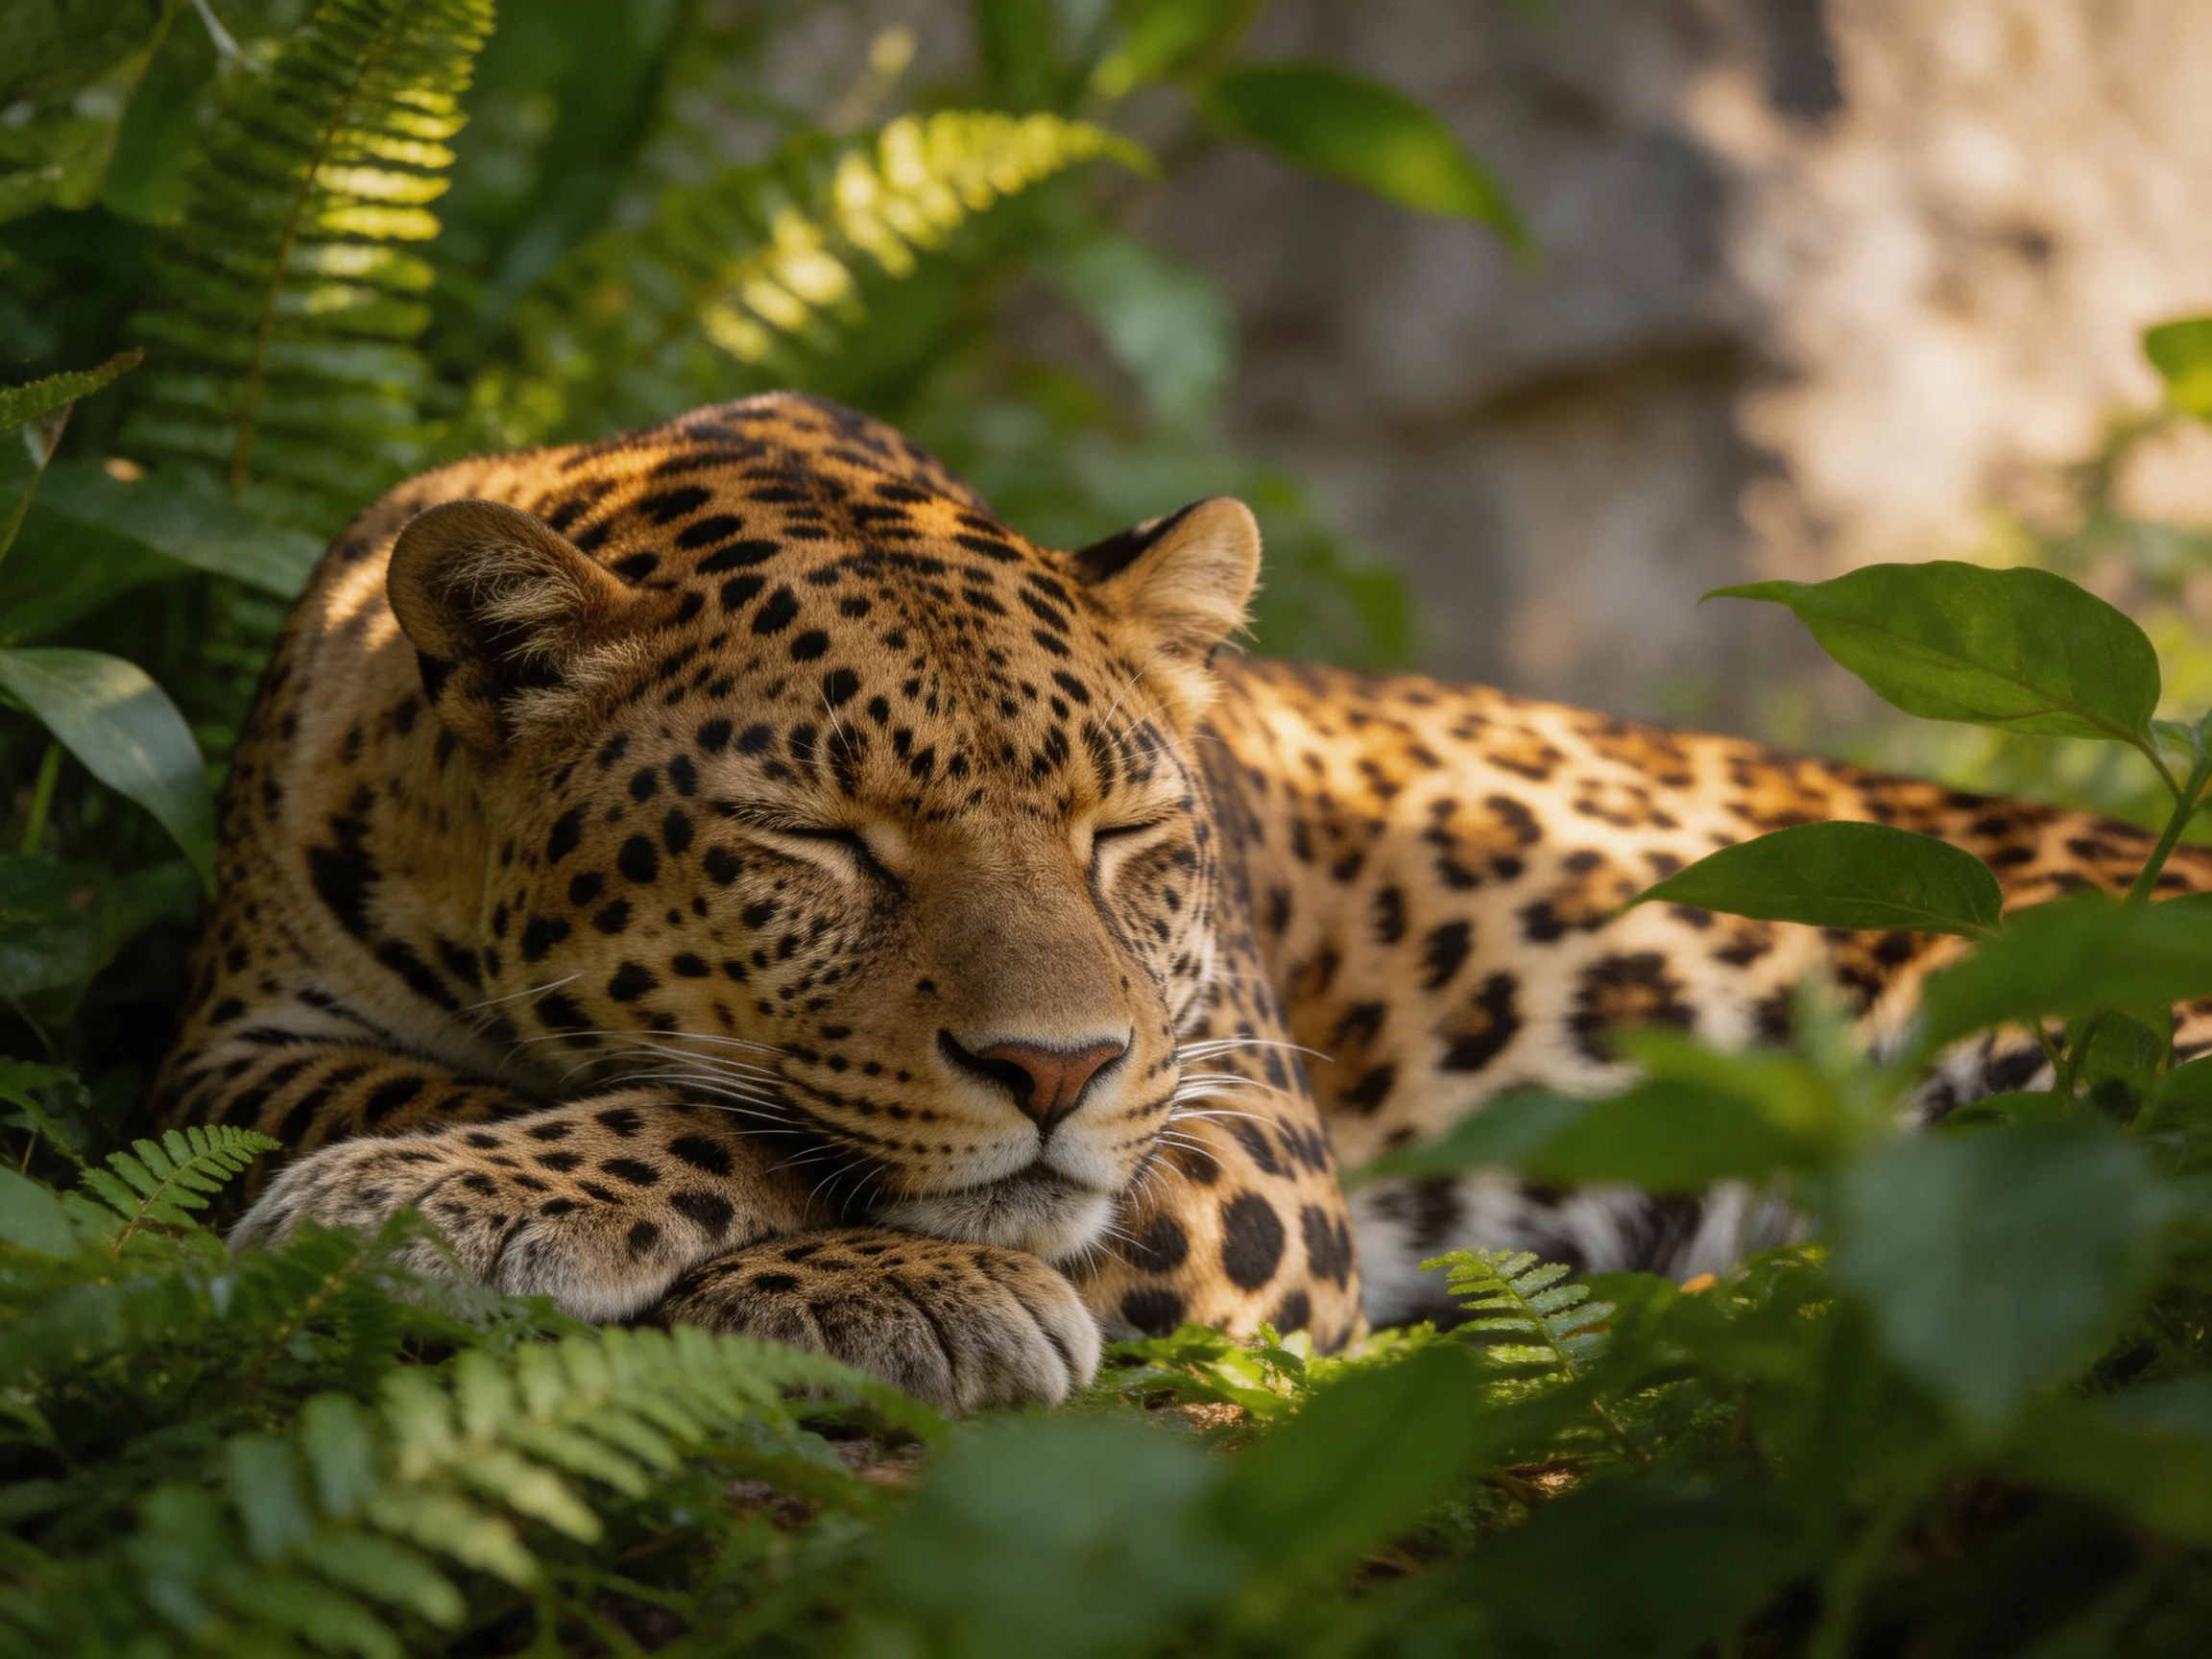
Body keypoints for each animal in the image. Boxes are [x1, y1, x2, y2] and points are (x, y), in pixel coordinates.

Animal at [156, 390, 2212, 1412]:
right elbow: (563, 1088)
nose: (1055, 1067)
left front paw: (876, 1285)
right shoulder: (239, 1038)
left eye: (1123, 833)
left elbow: (764, 1128)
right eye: (817, 840)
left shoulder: (1244, 1130)